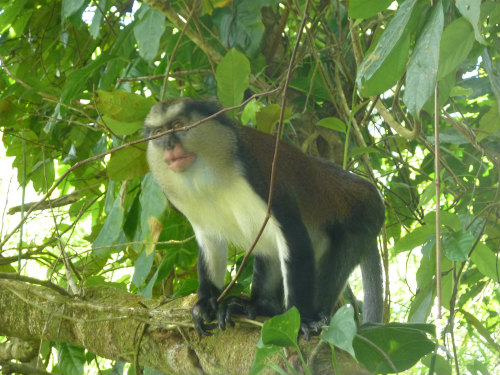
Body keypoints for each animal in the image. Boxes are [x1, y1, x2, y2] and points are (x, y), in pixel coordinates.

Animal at [143, 97, 384, 338]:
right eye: (158, 133)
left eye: (177, 125)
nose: (168, 145)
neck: (207, 176)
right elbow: (211, 243)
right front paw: (205, 304)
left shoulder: (261, 181)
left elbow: (294, 239)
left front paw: (304, 320)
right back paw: (261, 306)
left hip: (360, 224)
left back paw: (315, 314)